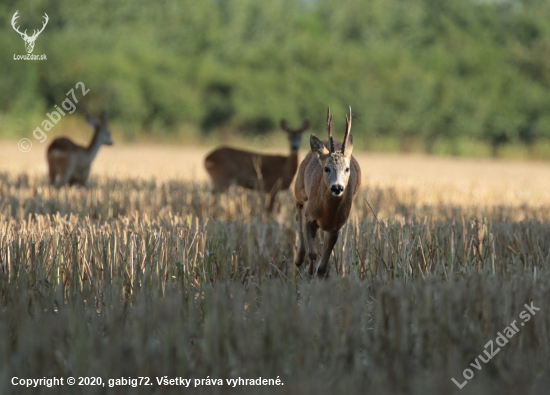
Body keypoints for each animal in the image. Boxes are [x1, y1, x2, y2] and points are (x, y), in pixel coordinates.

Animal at [296, 106, 364, 276]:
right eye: (326, 168)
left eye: (347, 169)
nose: (337, 187)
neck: (327, 212)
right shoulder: (310, 217)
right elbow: (313, 253)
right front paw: (308, 271)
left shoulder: (336, 228)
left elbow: (323, 266)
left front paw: (318, 274)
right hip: (299, 188)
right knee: (298, 210)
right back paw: (299, 258)